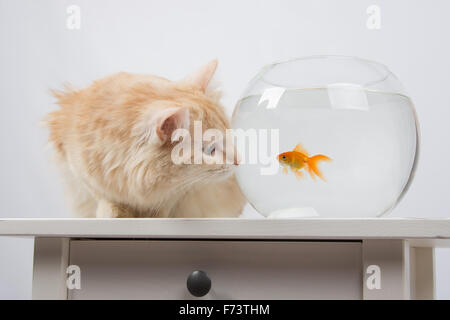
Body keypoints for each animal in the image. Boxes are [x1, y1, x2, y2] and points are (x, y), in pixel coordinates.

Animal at [45, 60, 246, 219]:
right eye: (210, 150)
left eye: (229, 136)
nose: (238, 161)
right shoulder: (77, 167)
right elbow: (104, 197)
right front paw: (112, 213)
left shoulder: (180, 191)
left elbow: (165, 205)